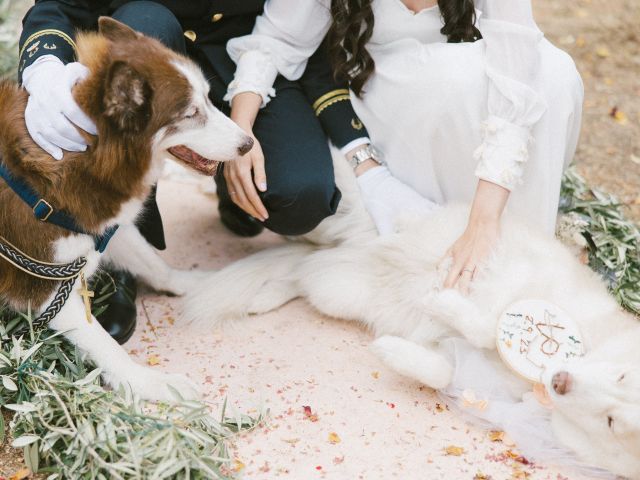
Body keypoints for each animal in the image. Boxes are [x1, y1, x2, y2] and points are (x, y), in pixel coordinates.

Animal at [0, 17, 252, 402]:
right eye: (191, 114)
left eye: (208, 99)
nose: (247, 143)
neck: (87, 158)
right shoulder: (41, 286)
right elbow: (107, 346)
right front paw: (151, 382)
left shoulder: (99, 227)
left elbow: (151, 260)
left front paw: (192, 282)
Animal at [185, 157, 640, 476]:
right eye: (622, 376)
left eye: (611, 422)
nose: (558, 380)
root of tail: (349, 249)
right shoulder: (523, 279)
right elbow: (484, 323)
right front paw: (444, 299)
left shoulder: (473, 378)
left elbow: (442, 368)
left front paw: (394, 350)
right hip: (350, 210)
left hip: (338, 288)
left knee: (301, 270)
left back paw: (260, 297)